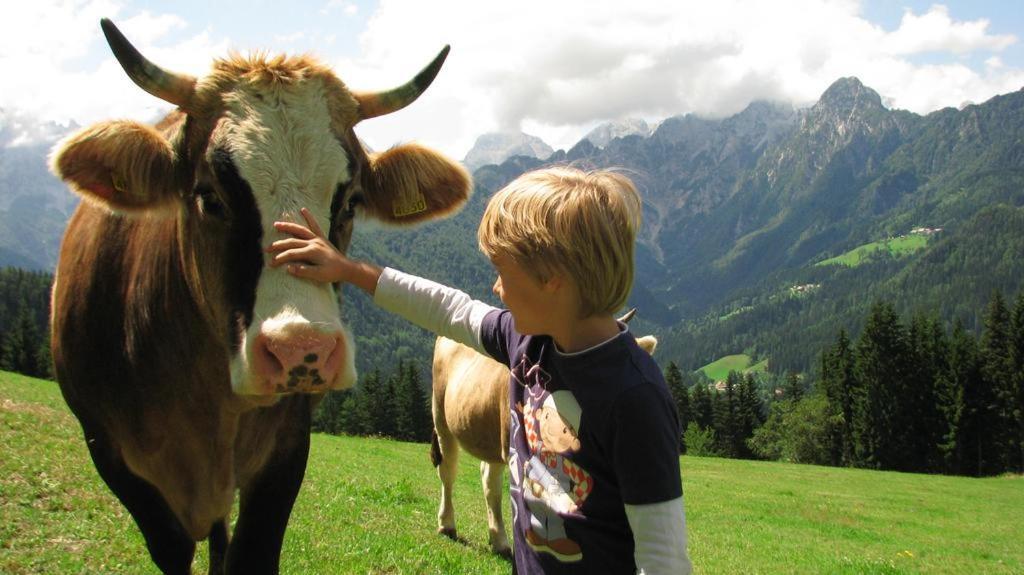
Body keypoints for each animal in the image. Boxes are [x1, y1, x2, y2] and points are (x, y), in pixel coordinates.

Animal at [50, 19, 471, 572]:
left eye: (350, 201)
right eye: (210, 196)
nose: (301, 349)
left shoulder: (286, 450)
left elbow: (249, 553)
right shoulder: (108, 450)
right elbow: (172, 548)